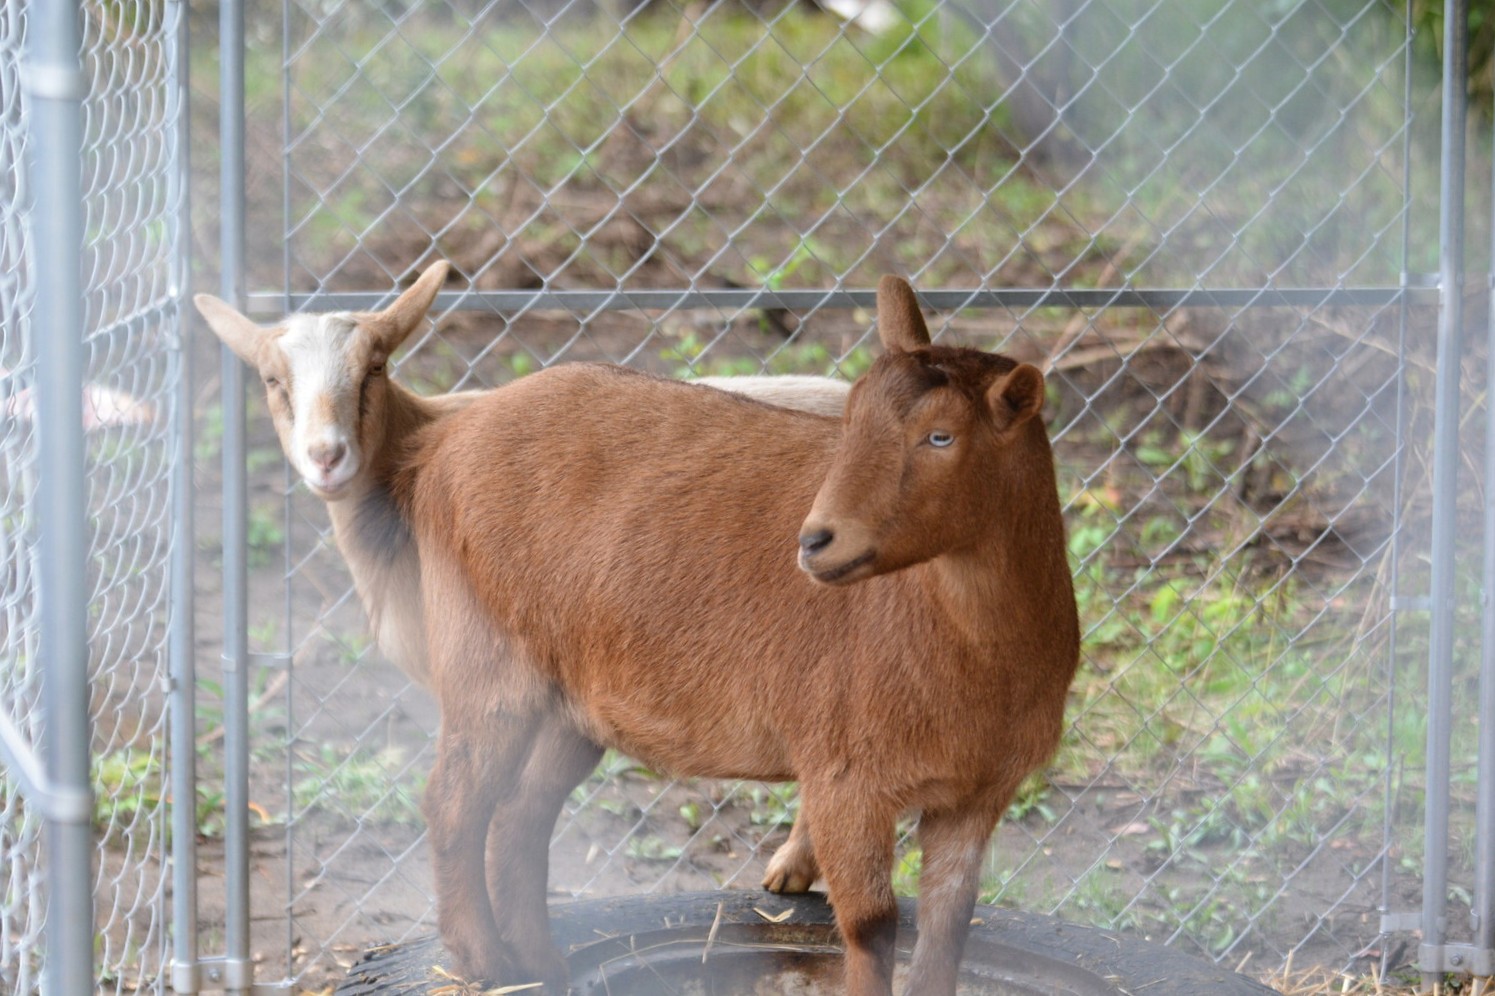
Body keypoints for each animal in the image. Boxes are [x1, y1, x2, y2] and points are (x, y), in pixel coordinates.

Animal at [395, 275, 1079, 995]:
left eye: (941, 436)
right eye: (850, 420)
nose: (816, 540)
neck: (975, 651)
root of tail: (444, 441)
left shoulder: (979, 793)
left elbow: (948, 925)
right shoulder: (844, 779)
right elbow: (872, 926)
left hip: (572, 703)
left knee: (522, 811)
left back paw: (540, 963)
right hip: (487, 659)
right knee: (453, 800)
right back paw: (485, 961)